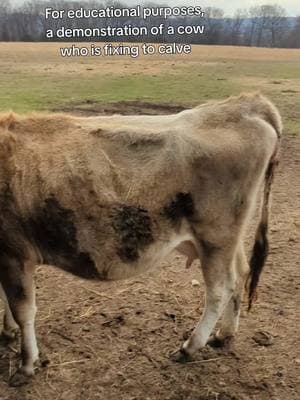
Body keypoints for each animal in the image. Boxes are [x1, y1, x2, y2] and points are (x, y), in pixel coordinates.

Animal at [0, 92, 282, 386]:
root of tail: (244, 105)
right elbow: (5, 298)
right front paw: (7, 332)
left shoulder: (14, 252)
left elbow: (23, 309)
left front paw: (26, 364)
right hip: (227, 239)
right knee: (241, 273)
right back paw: (224, 334)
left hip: (215, 237)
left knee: (220, 289)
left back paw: (190, 347)